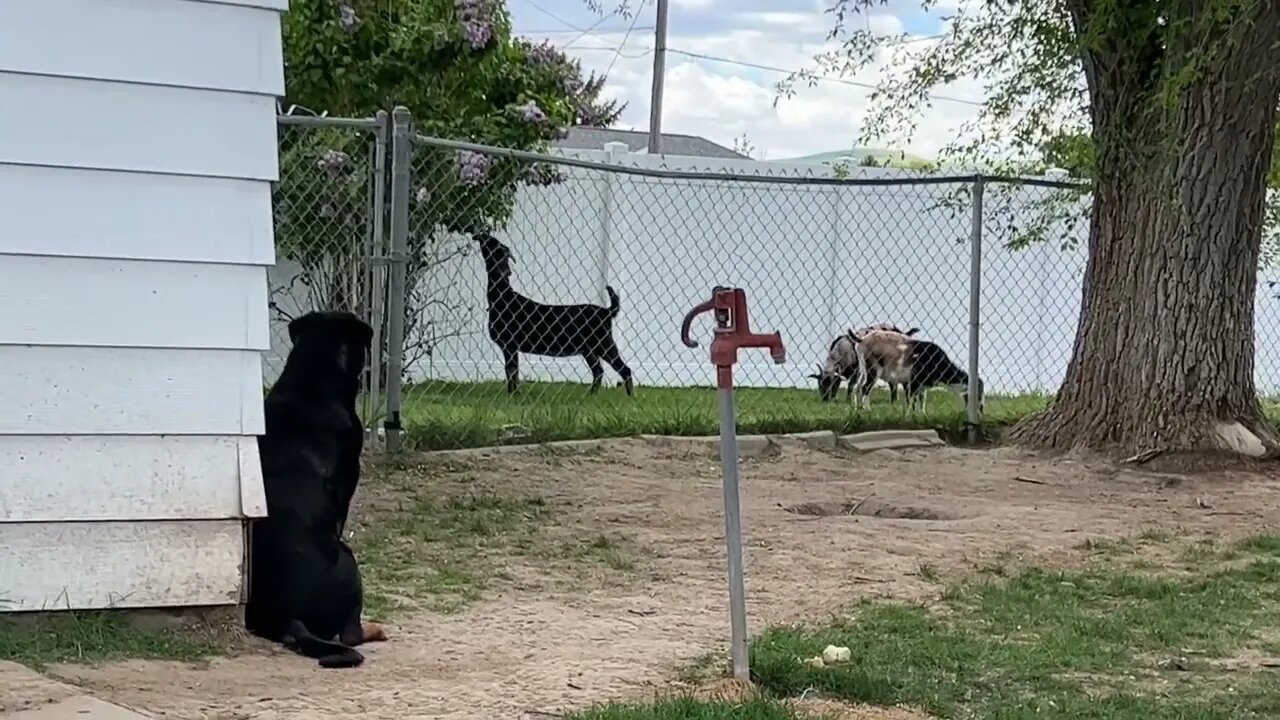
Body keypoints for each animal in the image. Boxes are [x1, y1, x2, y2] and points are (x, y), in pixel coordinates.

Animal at [473, 233, 632, 394]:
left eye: (491, 241)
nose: (480, 235)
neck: (502, 295)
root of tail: (607, 311)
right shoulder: (510, 348)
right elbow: (511, 373)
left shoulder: (510, 345)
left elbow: (512, 373)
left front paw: (514, 395)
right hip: (589, 350)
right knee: (598, 371)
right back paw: (591, 395)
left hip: (605, 344)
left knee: (625, 370)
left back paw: (630, 395)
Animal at [855, 325, 983, 409]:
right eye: (977, 395)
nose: (981, 410)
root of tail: (861, 341)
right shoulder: (913, 382)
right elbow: (911, 401)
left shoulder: (922, 386)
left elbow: (921, 401)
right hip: (874, 369)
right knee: (865, 388)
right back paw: (868, 410)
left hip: (863, 370)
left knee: (858, 386)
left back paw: (857, 409)